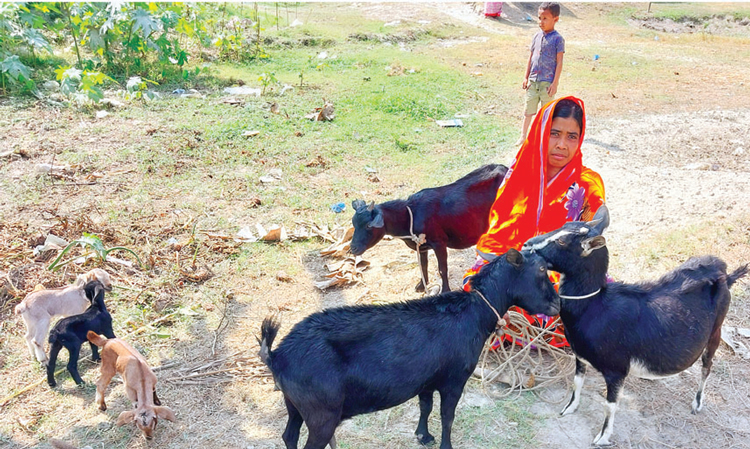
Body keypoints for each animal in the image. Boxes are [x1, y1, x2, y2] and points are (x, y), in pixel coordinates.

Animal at [258, 248, 560, 448]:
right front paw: (445, 445)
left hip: (295, 404)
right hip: (321, 412)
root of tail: (277, 356)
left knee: (289, 435)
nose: (557, 304)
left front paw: (423, 436)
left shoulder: (426, 379)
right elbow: (447, 416)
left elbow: (425, 407)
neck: (472, 312)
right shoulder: (455, 379)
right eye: (541, 269)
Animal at [350, 163, 508, 292]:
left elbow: (442, 269)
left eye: (369, 226)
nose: (353, 249)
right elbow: (423, 265)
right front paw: (421, 285)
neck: (410, 215)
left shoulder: (439, 242)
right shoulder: (421, 245)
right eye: (354, 223)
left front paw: (445, 290)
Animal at [524, 206, 748, 444]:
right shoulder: (580, 356)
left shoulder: (616, 369)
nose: (527, 244)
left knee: (707, 366)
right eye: (562, 226)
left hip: (716, 330)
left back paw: (697, 404)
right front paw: (569, 408)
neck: (595, 307)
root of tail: (725, 274)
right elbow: (577, 383)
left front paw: (602, 437)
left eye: (562, 242)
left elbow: (610, 405)